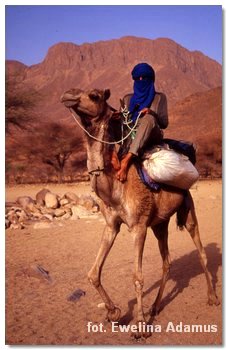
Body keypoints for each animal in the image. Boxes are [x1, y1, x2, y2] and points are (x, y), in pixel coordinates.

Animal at [60, 88, 220, 340]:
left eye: (94, 96)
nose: (68, 94)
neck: (114, 187)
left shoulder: (138, 227)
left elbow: (137, 277)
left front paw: (141, 327)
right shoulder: (112, 225)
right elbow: (93, 273)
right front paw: (114, 313)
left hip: (188, 207)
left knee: (201, 252)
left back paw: (212, 298)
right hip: (160, 224)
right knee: (167, 262)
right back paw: (155, 306)